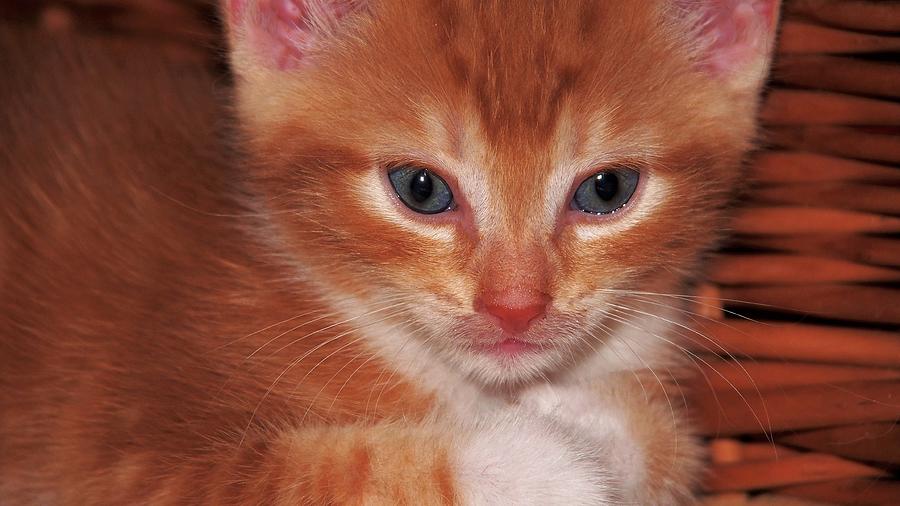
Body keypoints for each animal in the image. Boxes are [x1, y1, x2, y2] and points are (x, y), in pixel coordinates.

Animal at [0, 1, 776, 504]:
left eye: (607, 189)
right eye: (421, 189)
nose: (514, 307)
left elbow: (672, 443)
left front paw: (600, 426)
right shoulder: (120, 455)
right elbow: (320, 476)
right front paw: (543, 465)